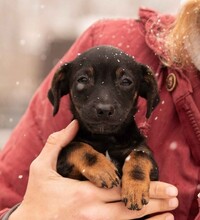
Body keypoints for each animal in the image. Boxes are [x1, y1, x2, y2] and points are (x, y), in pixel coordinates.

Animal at [47, 44, 160, 210]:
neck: (106, 138)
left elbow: (139, 155)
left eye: (126, 81)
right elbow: (78, 146)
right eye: (83, 80)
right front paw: (103, 170)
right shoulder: (62, 168)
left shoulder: (150, 162)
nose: (105, 110)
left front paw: (135, 189)